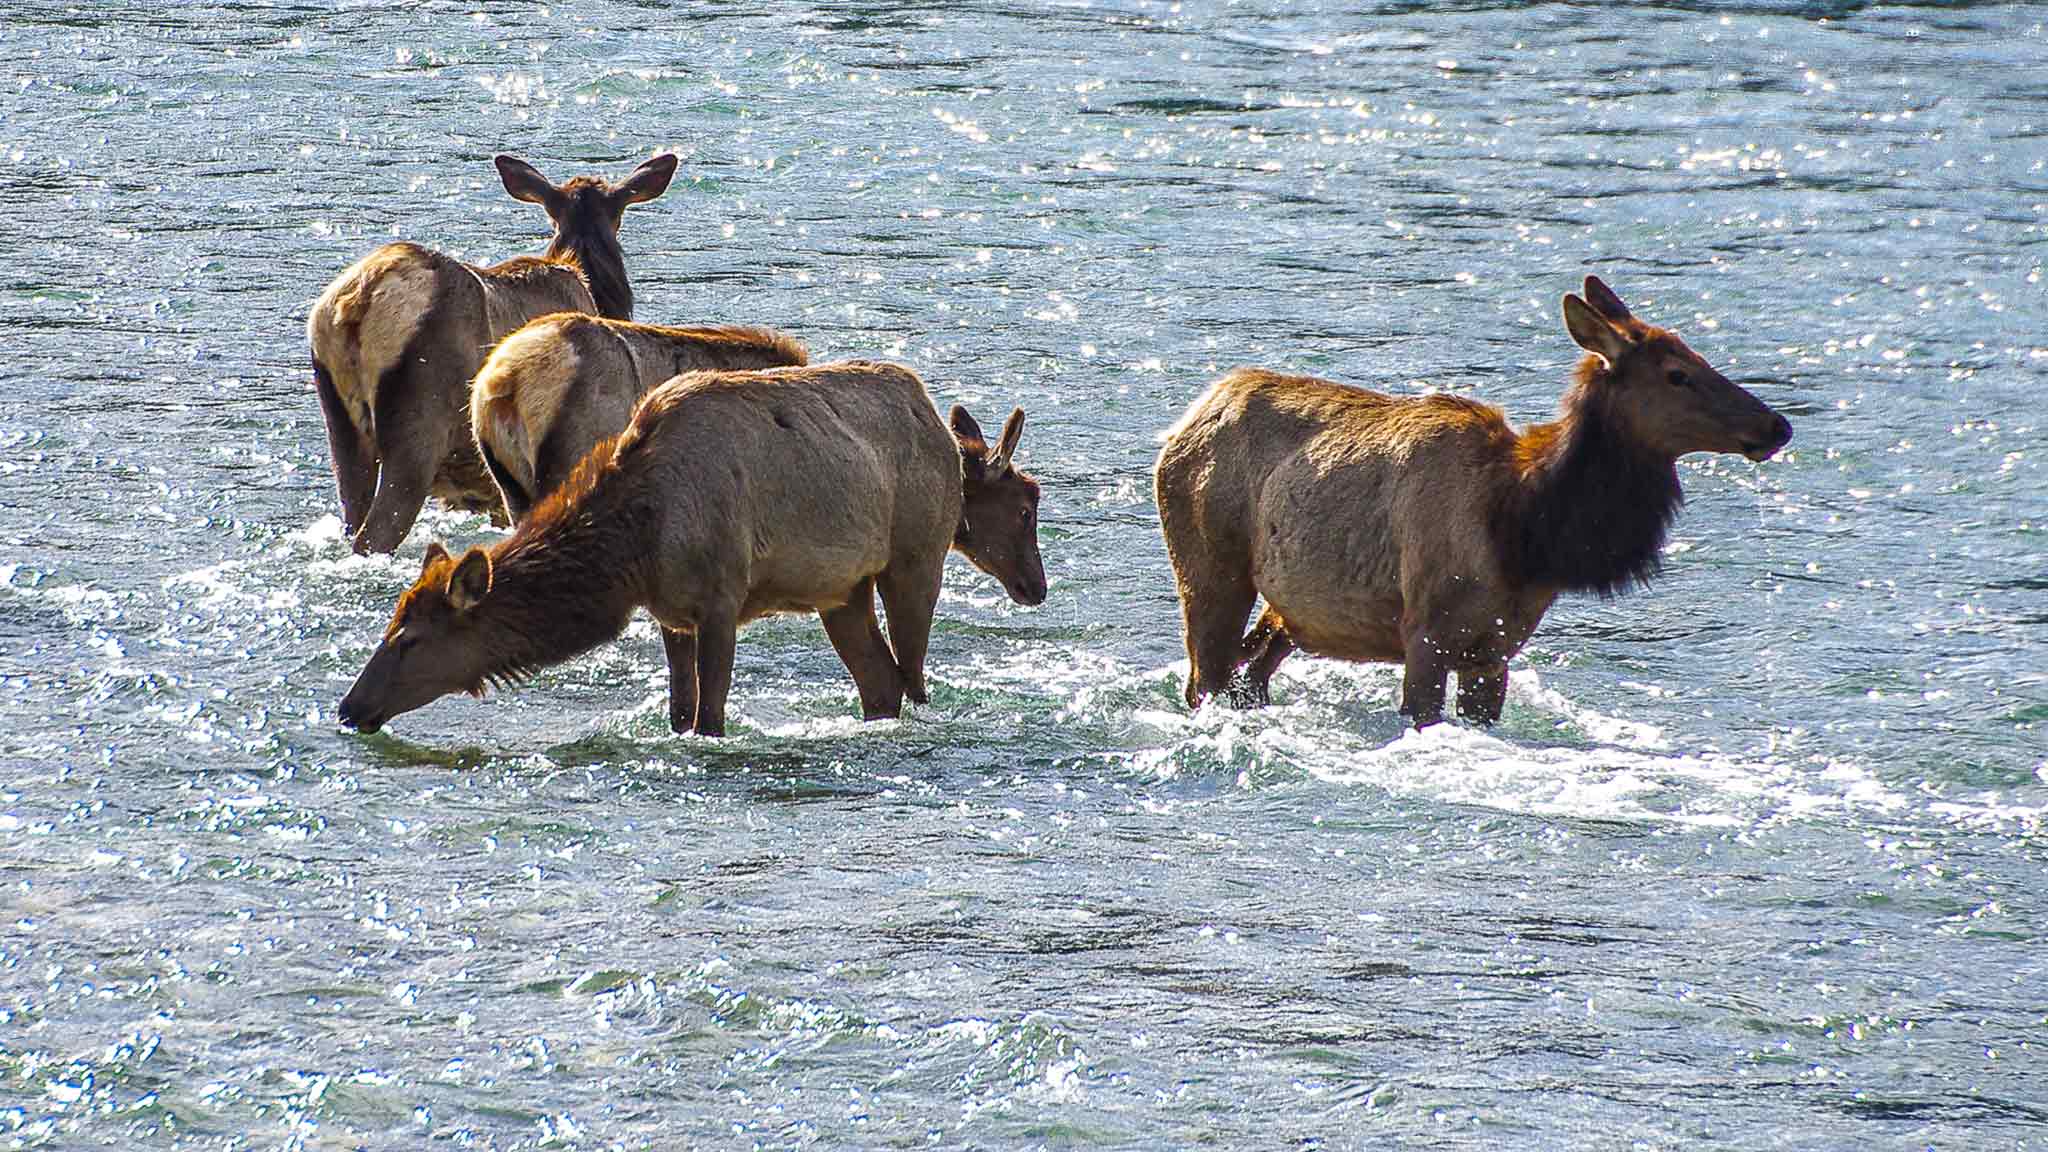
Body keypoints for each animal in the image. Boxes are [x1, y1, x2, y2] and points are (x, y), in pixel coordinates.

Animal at [337, 362, 1047, 739]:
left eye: (409, 640)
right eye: (390, 625)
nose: (350, 708)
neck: (635, 547)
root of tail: (933, 416)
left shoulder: (720, 600)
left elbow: (711, 715)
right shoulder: (671, 613)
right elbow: (681, 711)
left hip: (914, 560)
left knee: (913, 675)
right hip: (841, 590)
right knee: (882, 681)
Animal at [1153, 275, 1793, 728]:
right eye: (1677, 374)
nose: (1776, 425)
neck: (1526, 530)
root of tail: (1190, 414)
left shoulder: (1496, 649)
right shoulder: (1425, 633)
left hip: (1290, 610)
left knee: (1250, 674)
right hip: (1209, 572)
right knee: (1203, 680)